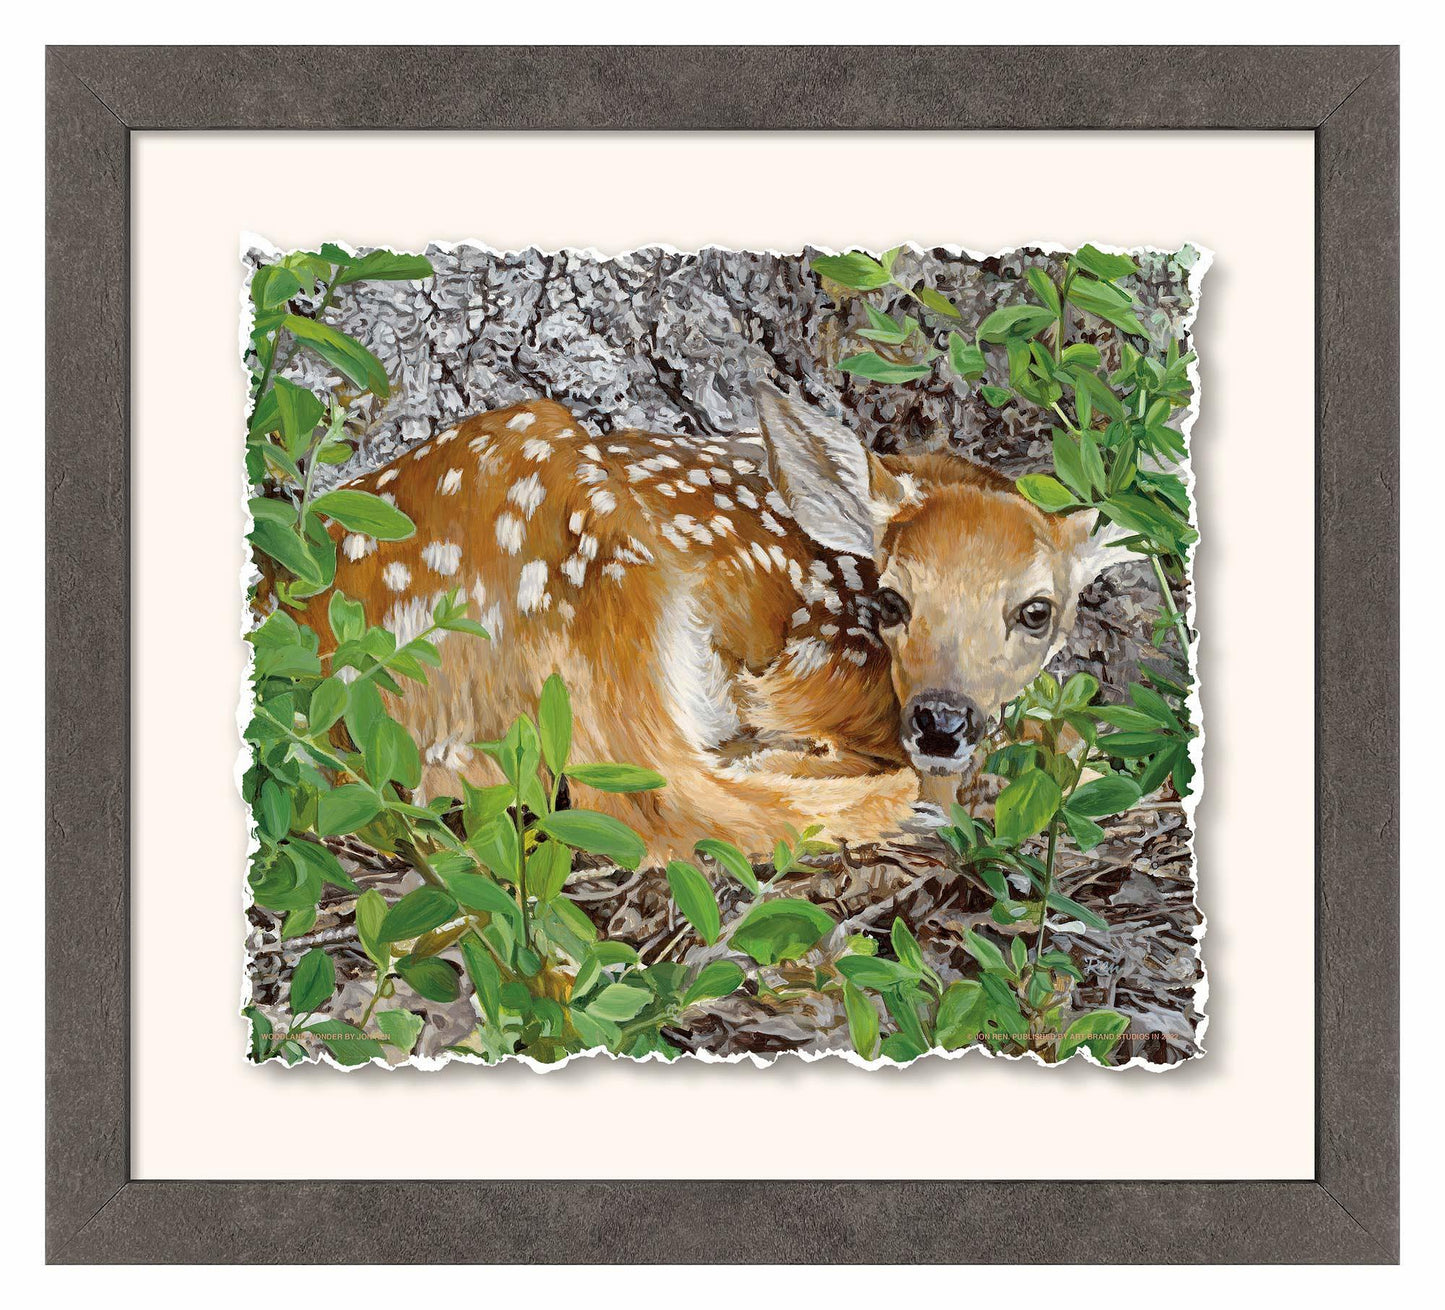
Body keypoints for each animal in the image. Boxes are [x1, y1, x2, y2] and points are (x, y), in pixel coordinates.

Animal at [292, 383, 1130, 863]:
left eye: (1035, 611)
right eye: (894, 601)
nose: (941, 721)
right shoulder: (805, 664)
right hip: (589, 570)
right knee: (661, 805)